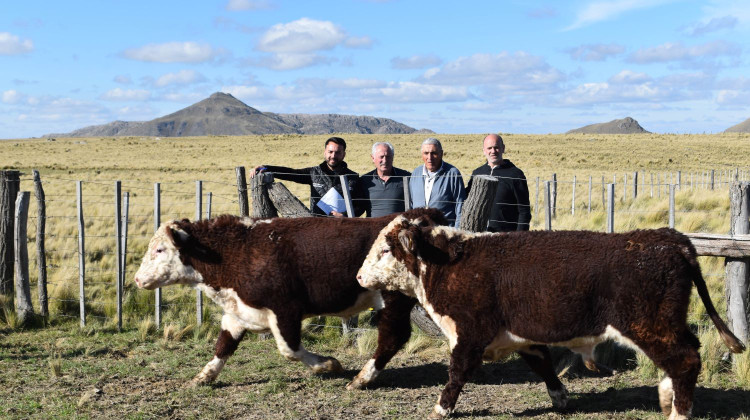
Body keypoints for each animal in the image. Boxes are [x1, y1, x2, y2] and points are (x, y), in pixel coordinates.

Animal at [133, 208, 450, 388]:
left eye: (160, 250)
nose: (137, 279)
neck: (239, 251)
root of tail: (420, 214)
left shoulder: (285, 310)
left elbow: (289, 349)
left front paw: (328, 365)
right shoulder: (238, 313)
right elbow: (223, 346)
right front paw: (203, 377)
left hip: (392, 298)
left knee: (392, 337)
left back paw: (362, 378)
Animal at [356, 220, 748, 420]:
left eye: (386, 249)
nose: (359, 277)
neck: (451, 264)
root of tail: (670, 239)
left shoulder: (469, 336)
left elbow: (456, 373)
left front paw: (441, 408)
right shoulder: (522, 337)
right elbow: (543, 365)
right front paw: (561, 399)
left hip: (650, 325)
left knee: (685, 360)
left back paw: (678, 413)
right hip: (666, 325)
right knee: (682, 358)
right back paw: (667, 398)